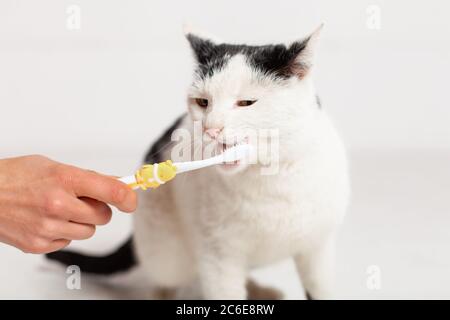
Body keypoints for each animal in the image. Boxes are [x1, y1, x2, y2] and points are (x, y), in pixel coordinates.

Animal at [45, 25, 350, 300]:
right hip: (167, 252)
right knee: (165, 279)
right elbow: (225, 291)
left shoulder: (318, 250)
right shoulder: (217, 257)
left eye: (247, 102)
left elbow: (320, 289)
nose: (210, 128)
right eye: (203, 102)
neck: (268, 181)